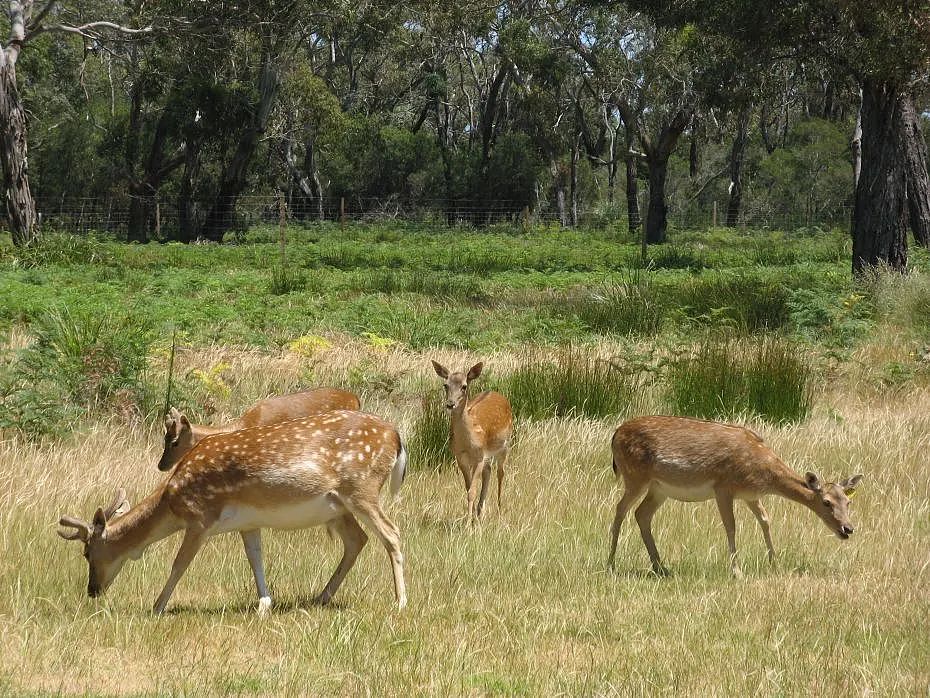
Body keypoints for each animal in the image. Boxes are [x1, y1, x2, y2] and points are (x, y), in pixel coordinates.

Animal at [58, 410, 406, 612]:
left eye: (87, 553)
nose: (92, 591)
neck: (171, 500)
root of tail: (396, 436)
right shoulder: (247, 522)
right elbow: (255, 558)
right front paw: (265, 603)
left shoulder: (200, 517)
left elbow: (179, 564)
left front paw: (157, 606)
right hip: (338, 506)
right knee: (357, 539)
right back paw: (320, 597)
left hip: (361, 488)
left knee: (391, 533)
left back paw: (400, 602)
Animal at [430, 362, 512, 520]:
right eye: (445, 385)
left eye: (464, 386)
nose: (450, 404)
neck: (467, 442)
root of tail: (497, 394)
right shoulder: (460, 457)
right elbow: (468, 488)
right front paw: (472, 518)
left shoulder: (479, 456)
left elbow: (472, 491)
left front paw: (468, 523)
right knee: (488, 471)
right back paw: (481, 512)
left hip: (505, 444)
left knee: (500, 472)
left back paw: (499, 508)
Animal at [604, 416, 860, 572]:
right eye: (826, 502)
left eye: (848, 502)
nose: (847, 529)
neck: (764, 475)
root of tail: (615, 435)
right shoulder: (723, 487)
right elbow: (731, 526)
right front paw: (736, 570)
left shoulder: (751, 495)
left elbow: (765, 520)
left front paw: (774, 563)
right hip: (635, 476)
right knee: (620, 509)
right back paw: (611, 564)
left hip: (659, 488)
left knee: (642, 514)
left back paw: (660, 567)